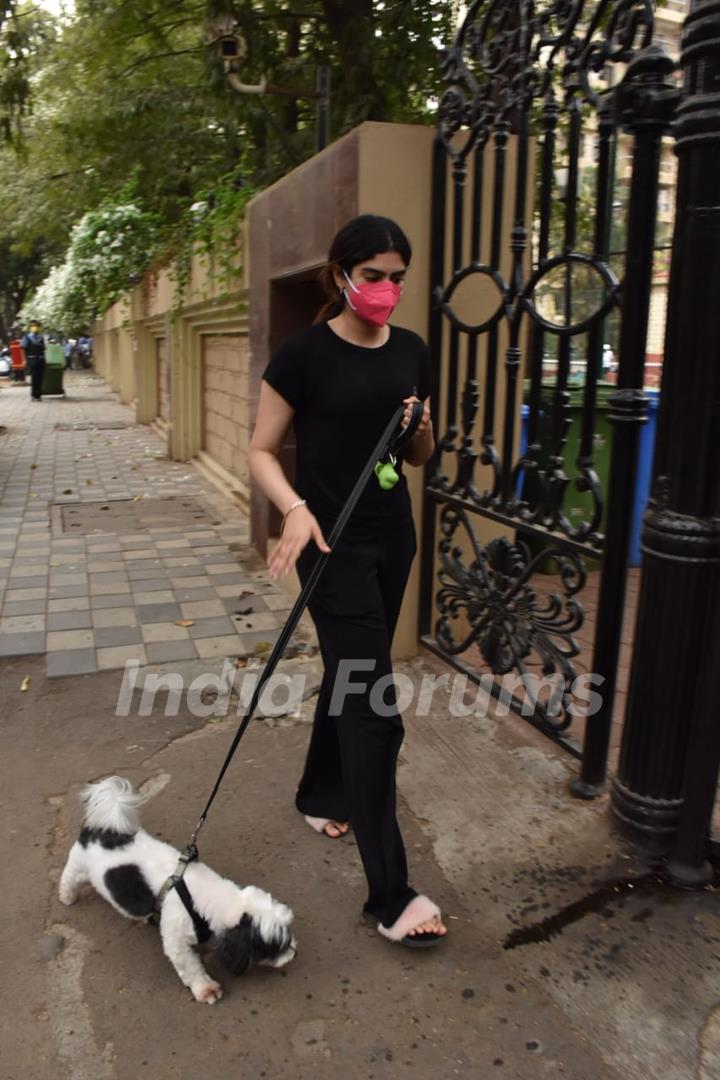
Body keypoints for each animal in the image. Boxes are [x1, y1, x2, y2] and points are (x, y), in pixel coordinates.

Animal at [58, 777, 295, 1002]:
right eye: (274, 946)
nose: (293, 952)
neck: (203, 898)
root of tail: (100, 829)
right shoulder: (176, 940)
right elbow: (190, 967)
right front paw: (206, 989)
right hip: (78, 865)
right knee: (69, 878)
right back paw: (67, 896)